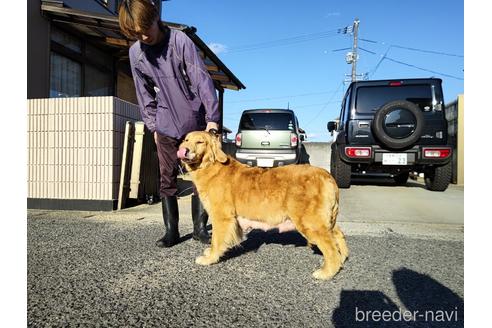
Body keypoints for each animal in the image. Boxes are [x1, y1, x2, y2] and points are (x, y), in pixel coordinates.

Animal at [179, 131, 348, 280]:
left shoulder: (222, 217)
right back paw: (343, 258)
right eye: (186, 140)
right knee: (338, 235)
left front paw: (210, 258)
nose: (184, 150)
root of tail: (327, 175)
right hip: (324, 221)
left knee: (331, 250)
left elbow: (216, 240)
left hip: (310, 223)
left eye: (200, 142)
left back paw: (326, 272)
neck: (211, 166)